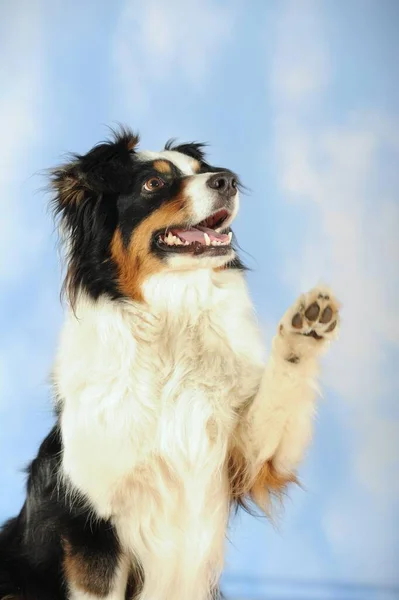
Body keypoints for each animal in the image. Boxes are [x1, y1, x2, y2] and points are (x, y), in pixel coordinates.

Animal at [0, 130, 340, 600]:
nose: (228, 179)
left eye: (201, 172)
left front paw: (306, 326)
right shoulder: (92, 523)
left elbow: (279, 395)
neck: (172, 319)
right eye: (153, 184)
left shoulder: (246, 459)